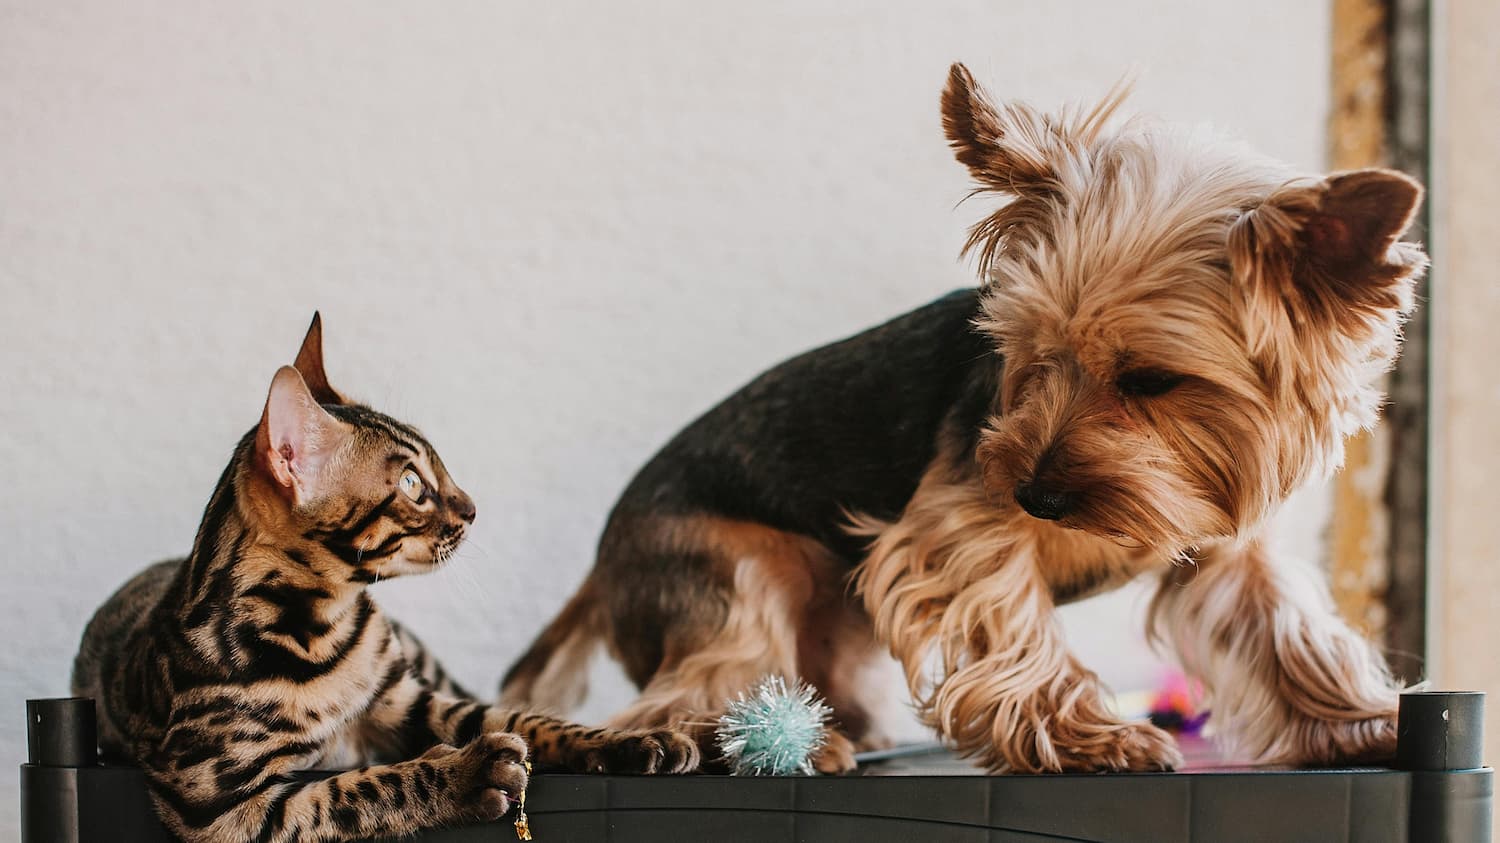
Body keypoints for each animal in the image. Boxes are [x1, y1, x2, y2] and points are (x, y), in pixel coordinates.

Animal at [73, 315, 699, 840]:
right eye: (412, 485)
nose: (473, 508)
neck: (322, 630)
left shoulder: (411, 701)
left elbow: (526, 717)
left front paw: (633, 741)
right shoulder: (220, 803)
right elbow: (365, 788)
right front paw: (468, 775)